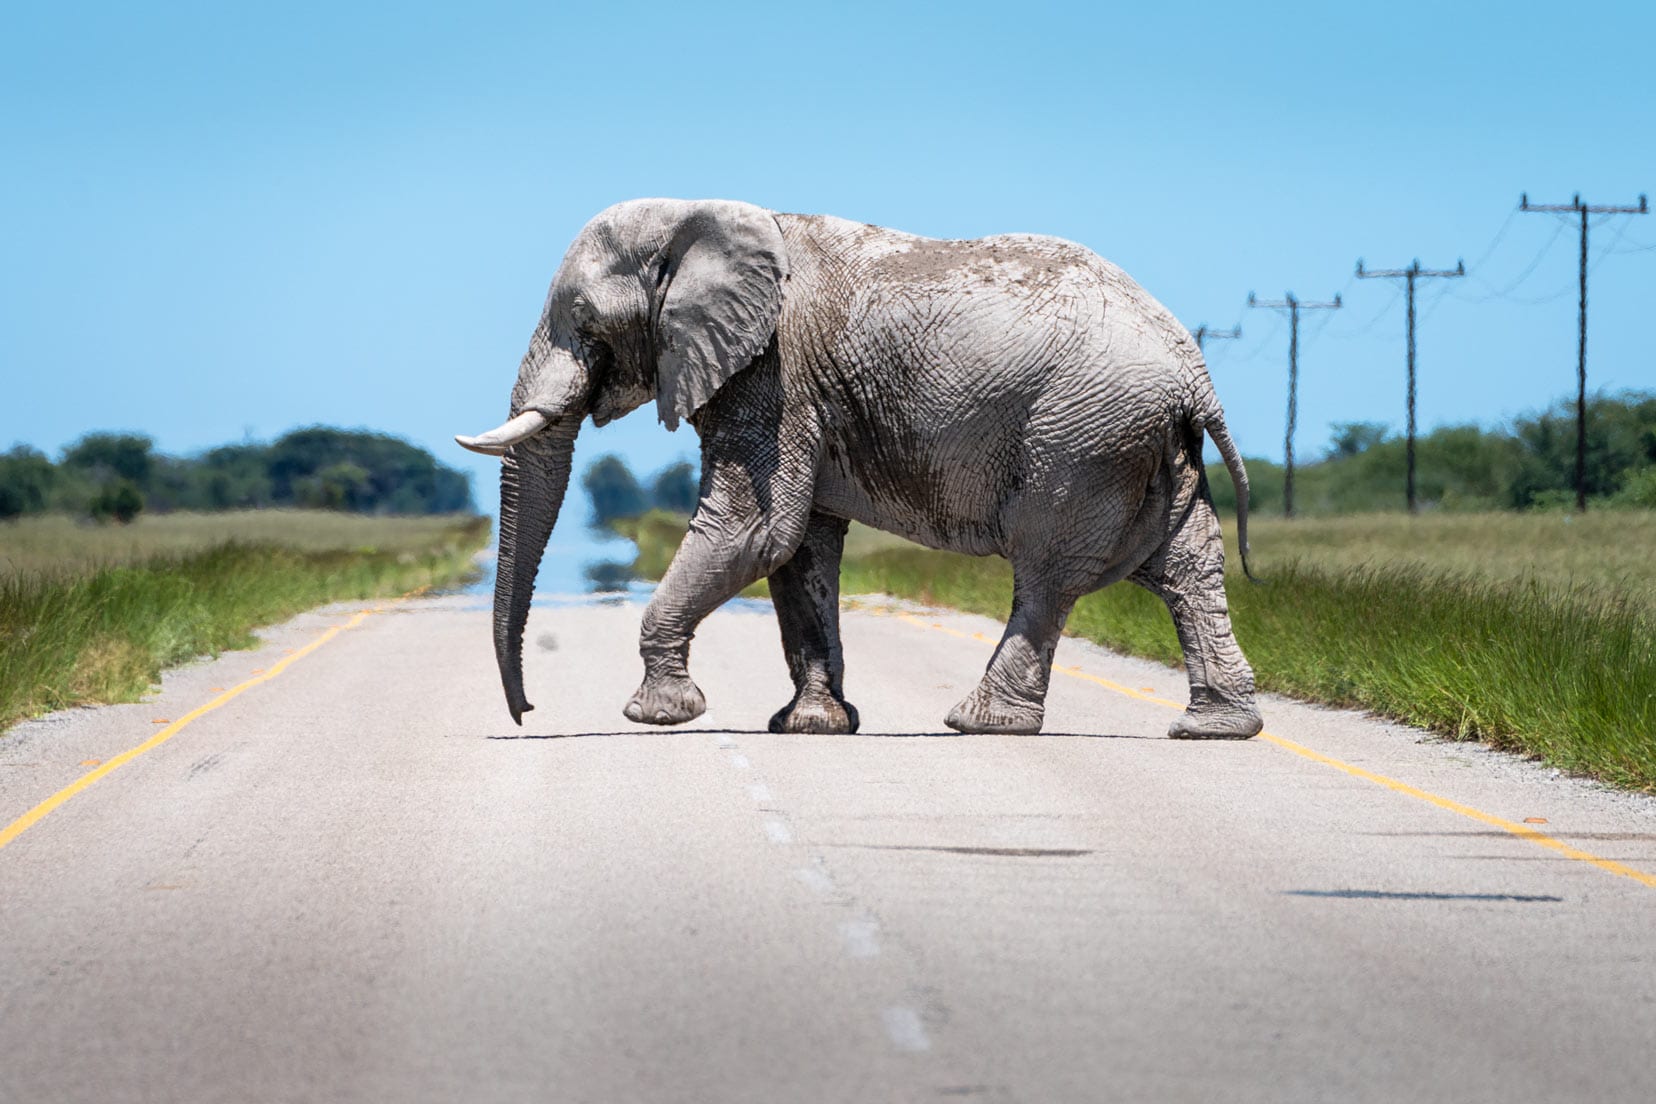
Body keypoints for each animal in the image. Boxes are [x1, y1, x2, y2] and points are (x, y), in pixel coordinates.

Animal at [460, 196, 1258, 741]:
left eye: (584, 320)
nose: (527, 711)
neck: (700, 215)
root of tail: (1194, 375)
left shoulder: (773, 373)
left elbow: (755, 531)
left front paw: (658, 715)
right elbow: (800, 550)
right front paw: (813, 725)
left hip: (1081, 437)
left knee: (1046, 571)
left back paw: (978, 722)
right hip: (1146, 446)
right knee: (1186, 568)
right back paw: (1215, 729)